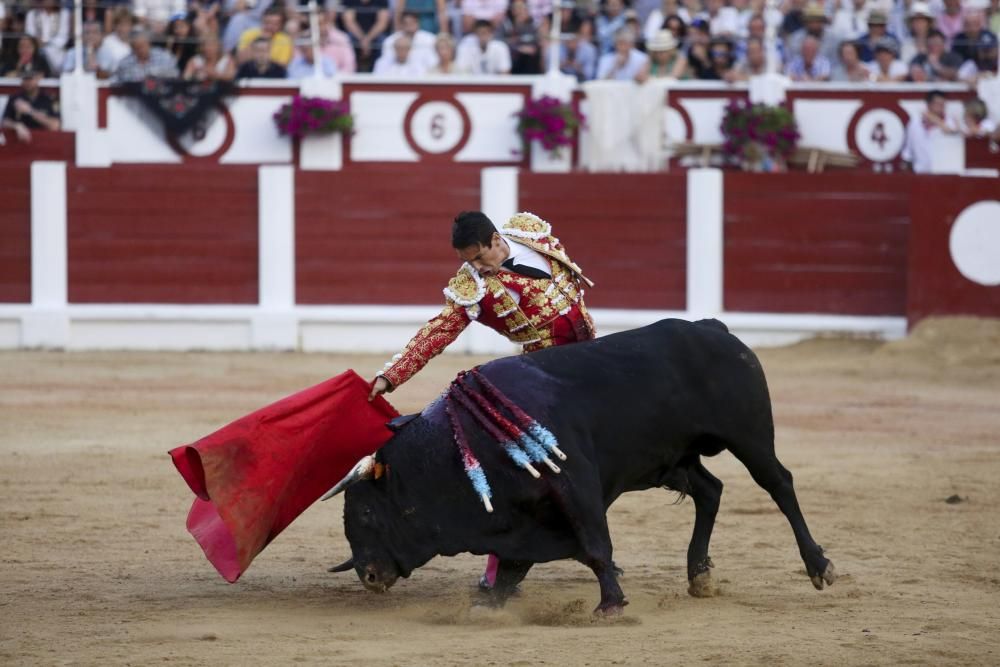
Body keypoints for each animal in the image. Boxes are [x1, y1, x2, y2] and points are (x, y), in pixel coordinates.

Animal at [322, 318, 836, 616]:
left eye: (365, 513)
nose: (368, 576)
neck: (458, 447)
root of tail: (713, 329)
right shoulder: (519, 518)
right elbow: (514, 564)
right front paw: (489, 602)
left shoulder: (574, 485)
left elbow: (594, 546)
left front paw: (610, 604)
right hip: (671, 459)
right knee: (710, 491)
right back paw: (699, 575)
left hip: (749, 436)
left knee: (779, 484)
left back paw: (819, 567)